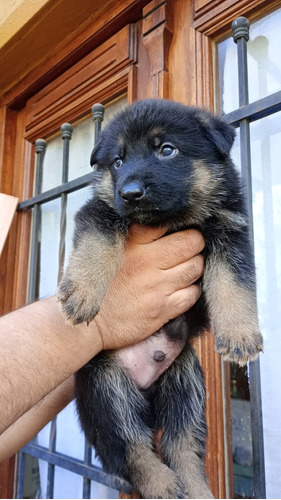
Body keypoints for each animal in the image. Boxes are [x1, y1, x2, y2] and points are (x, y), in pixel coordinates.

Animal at [57, 99, 262, 498]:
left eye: (166, 150)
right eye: (117, 161)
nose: (130, 192)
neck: (171, 219)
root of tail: (148, 395)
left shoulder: (230, 231)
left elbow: (234, 284)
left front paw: (240, 335)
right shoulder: (102, 210)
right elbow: (97, 242)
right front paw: (82, 291)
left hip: (186, 384)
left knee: (180, 445)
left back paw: (193, 488)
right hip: (105, 385)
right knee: (131, 446)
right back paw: (161, 482)